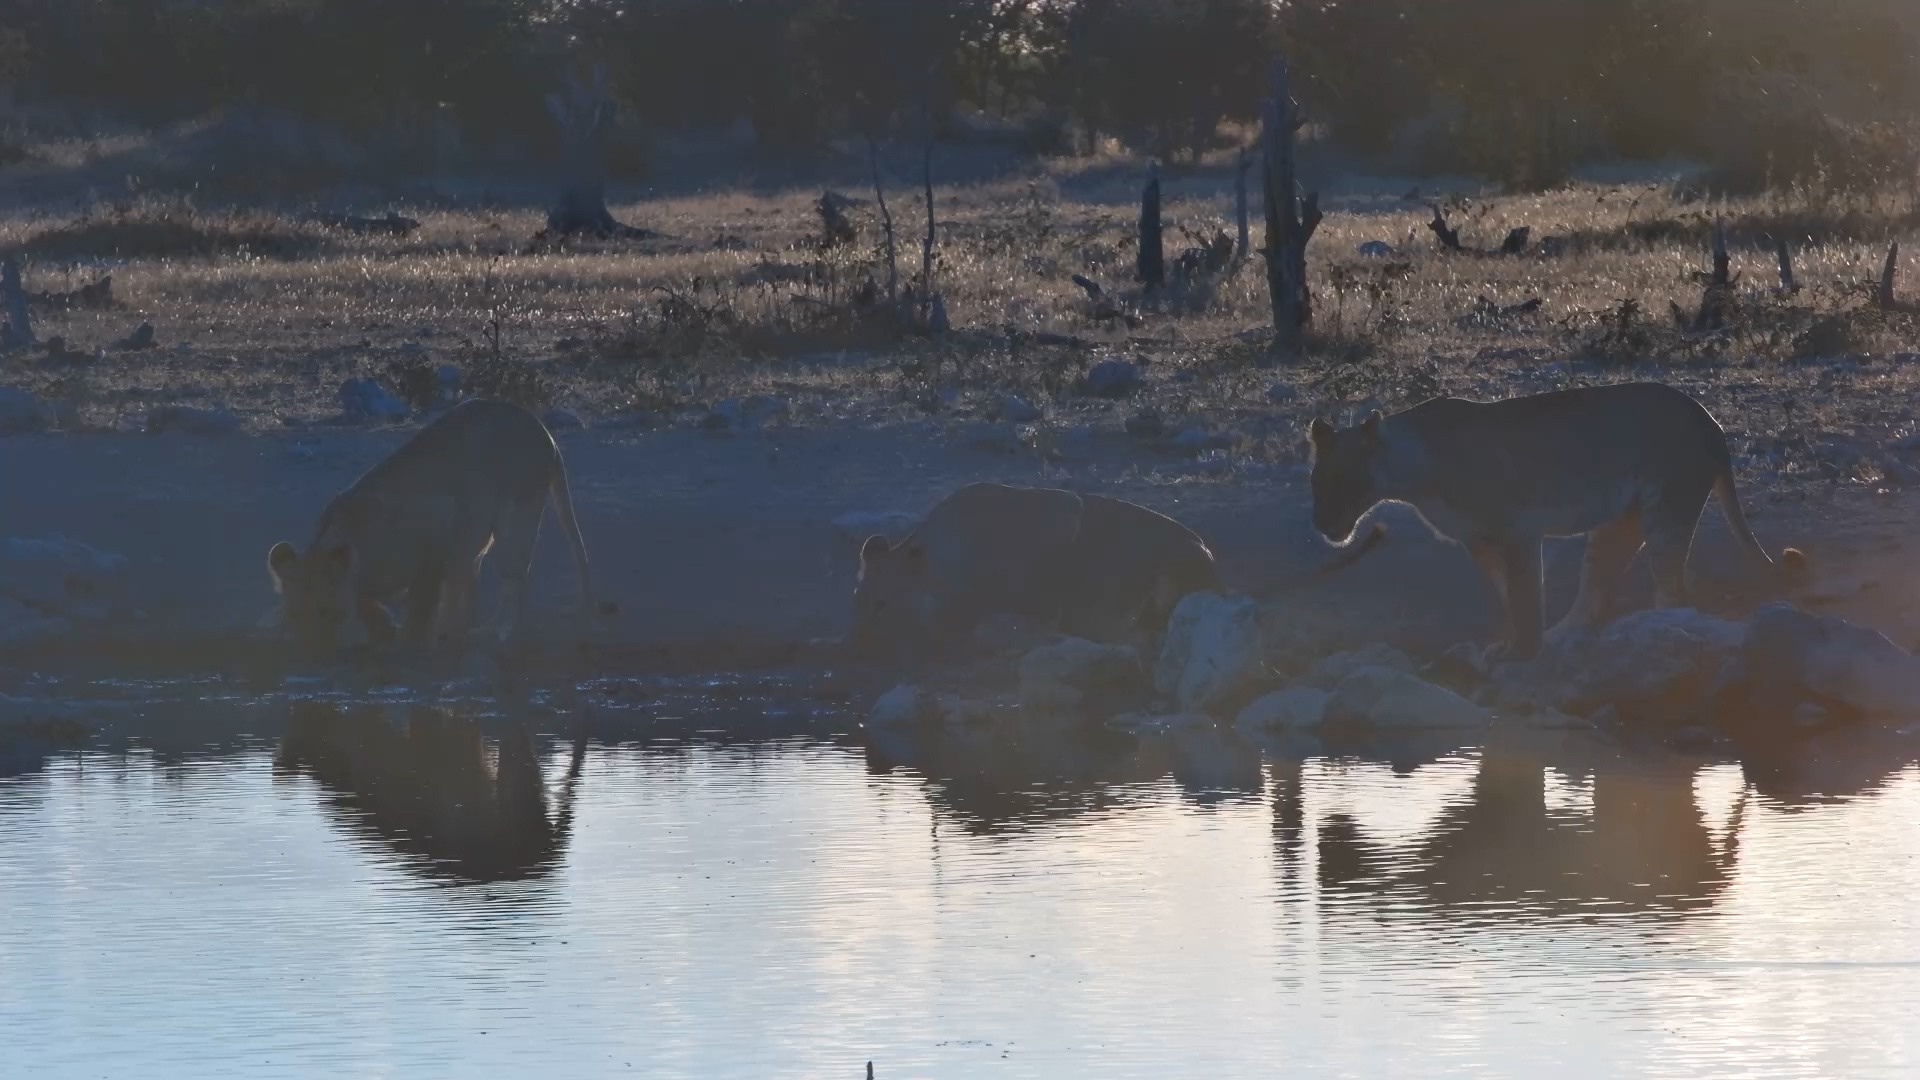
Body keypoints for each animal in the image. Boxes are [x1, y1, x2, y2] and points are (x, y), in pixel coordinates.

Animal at [267, 399, 606, 654]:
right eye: (295, 613)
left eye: (324, 611)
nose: (312, 650)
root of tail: (546, 434)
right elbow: (368, 600)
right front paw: (384, 627)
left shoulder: (432, 536)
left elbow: (421, 605)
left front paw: (410, 642)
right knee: (475, 581)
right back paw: (460, 631)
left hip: (517, 507)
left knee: (513, 582)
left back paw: (492, 634)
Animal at [1307, 381, 1808, 660]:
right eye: (1317, 481)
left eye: (1345, 481)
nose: (1321, 524)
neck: (1414, 475)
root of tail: (1712, 421)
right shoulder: (1479, 542)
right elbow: (1507, 595)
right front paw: (1511, 645)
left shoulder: (1518, 532)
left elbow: (1526, 595)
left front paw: (1523, 653)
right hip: (1616, 525)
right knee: (1593, 595)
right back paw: (1565, 640)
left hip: (1669, 510)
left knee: (1675, 593)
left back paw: (1658, 634)